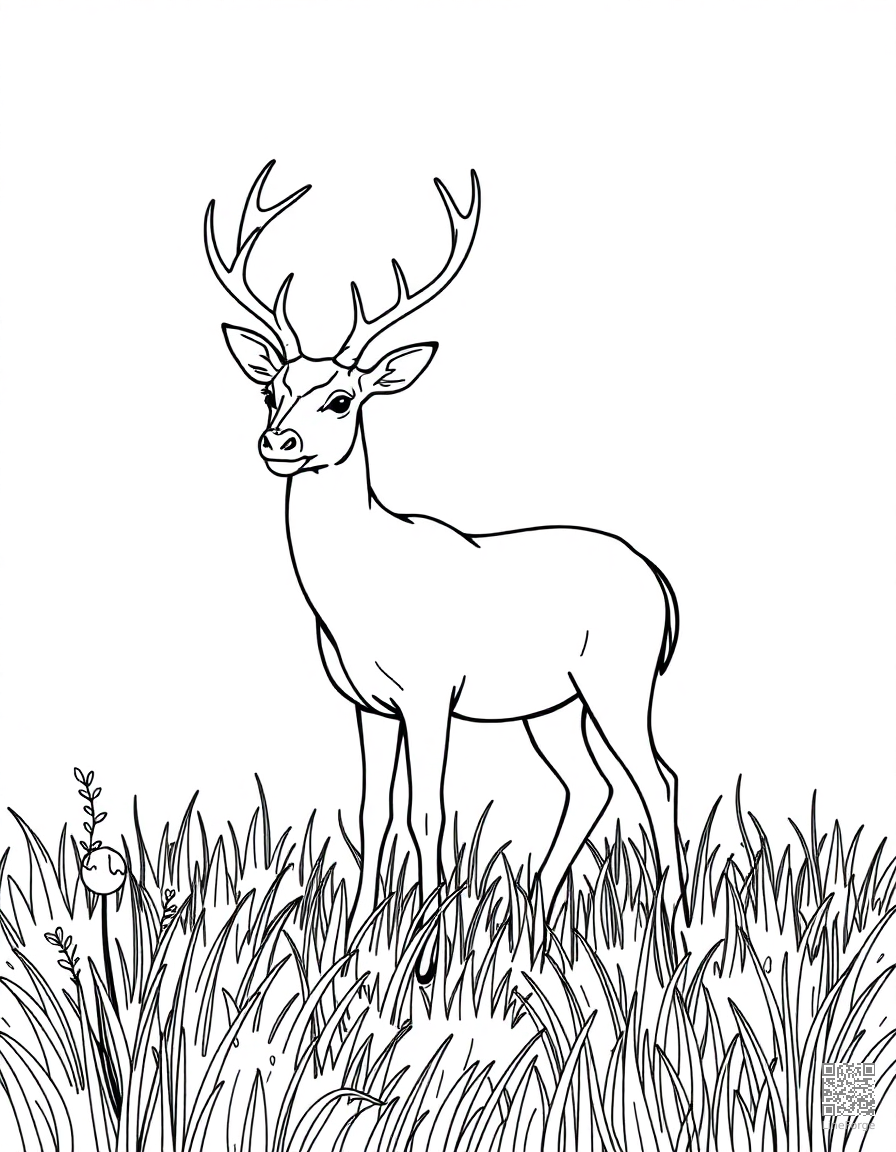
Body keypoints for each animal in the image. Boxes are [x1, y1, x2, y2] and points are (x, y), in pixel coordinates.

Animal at [204, 162, 685, 979]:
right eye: (271, 388)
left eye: (342, 398)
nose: (278, 441)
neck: (361, 595)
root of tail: (661, 584)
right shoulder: (366, 704)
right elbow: (373, 813)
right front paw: (356, 944)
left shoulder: (431, 693)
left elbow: (428, 812)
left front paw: (428, 959)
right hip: (552, 705)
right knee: (590, 787)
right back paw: (535, 926)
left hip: (619, 679)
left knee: (657, 780)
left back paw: (676, 938)